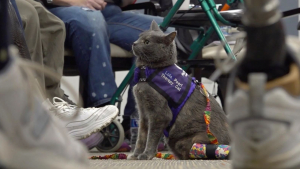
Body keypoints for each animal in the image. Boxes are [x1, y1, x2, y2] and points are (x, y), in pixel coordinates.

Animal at [128, 20, 230, 160]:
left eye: (147, 42)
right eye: (139, 37)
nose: (134, 43)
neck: (147, 72)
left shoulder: (159, 114)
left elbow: (151, 137)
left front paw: (146, 155)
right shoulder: (143, 112)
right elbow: (141, 136)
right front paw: (136, 155)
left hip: (195, 139)